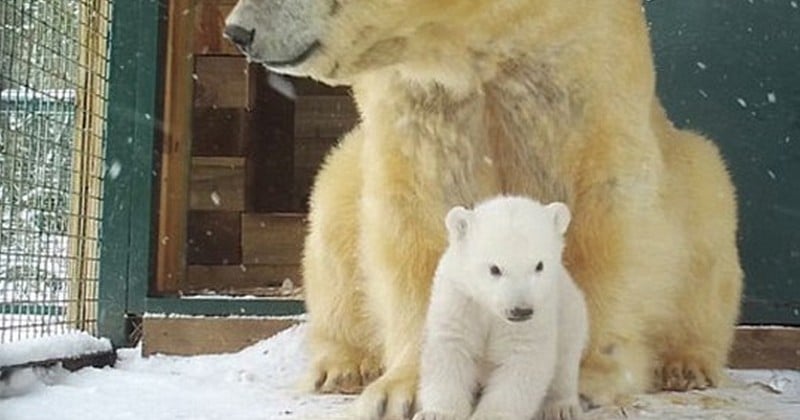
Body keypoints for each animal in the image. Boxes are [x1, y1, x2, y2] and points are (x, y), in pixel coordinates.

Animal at [220, 0, 744, 416]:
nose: (238, 31)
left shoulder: (584, 61)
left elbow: (607, 211)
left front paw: (586, 375)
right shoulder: (417, 101)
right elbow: (414, 220)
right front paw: (401, 389)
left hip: (699, 180)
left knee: (709, 220)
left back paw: (687, 364)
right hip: (344, 177)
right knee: (332, 211)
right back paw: (342, 367)